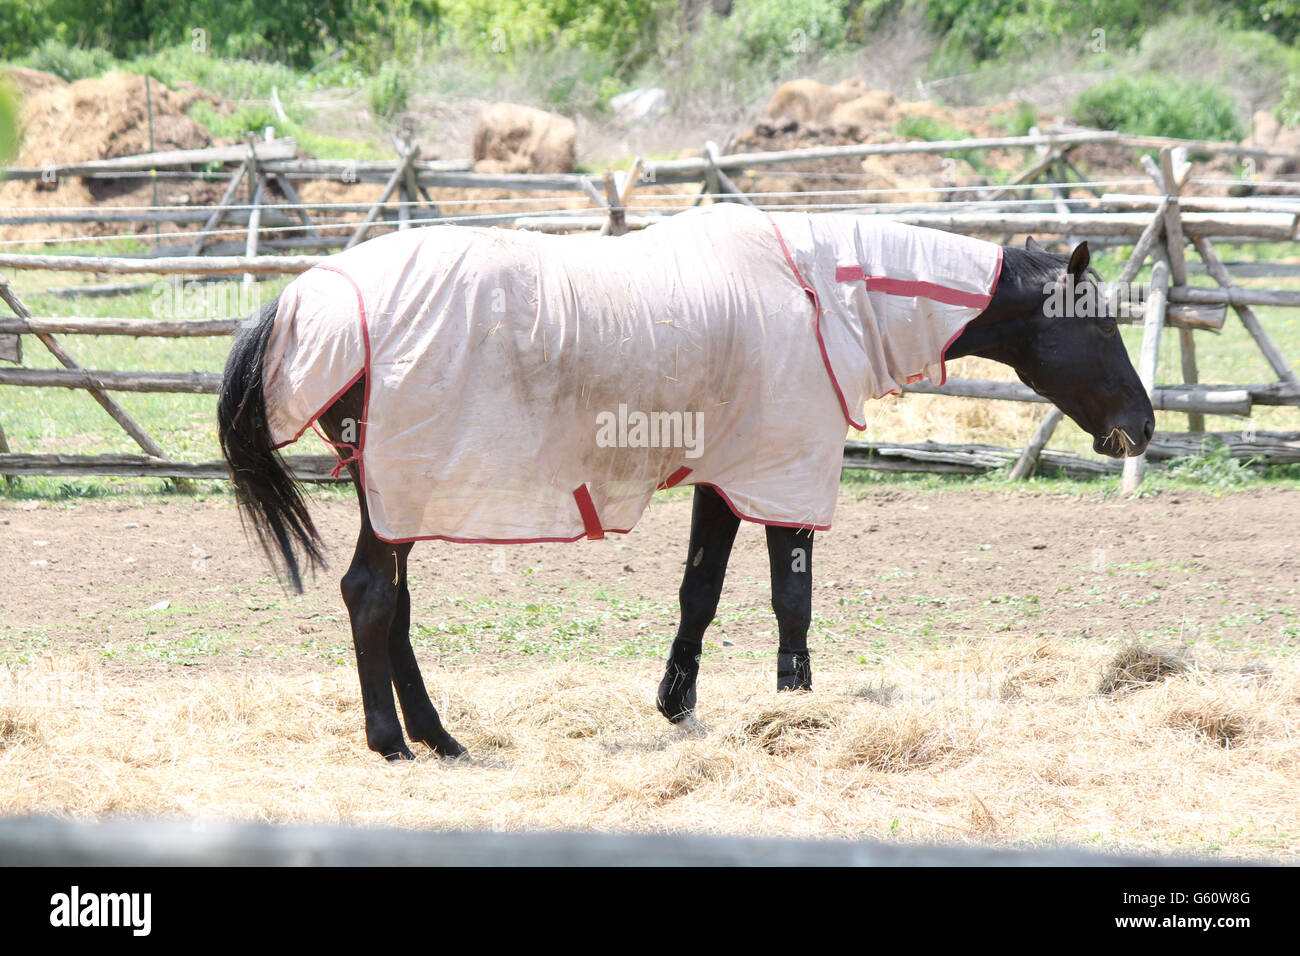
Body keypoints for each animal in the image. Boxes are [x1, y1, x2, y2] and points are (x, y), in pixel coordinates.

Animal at [220, 208, 1159, 764]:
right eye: (1099, 324)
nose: (1144, 427)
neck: (817, 288)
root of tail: (305, 300)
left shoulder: (731, 474)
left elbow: (699, 592)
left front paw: (678, 704)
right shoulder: (784, 470)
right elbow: (791, 600)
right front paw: (795, 709)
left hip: (403, 496)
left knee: (395, 606)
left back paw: (440, 735)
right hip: (406, 488)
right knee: (371, 594)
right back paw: (392, 741)